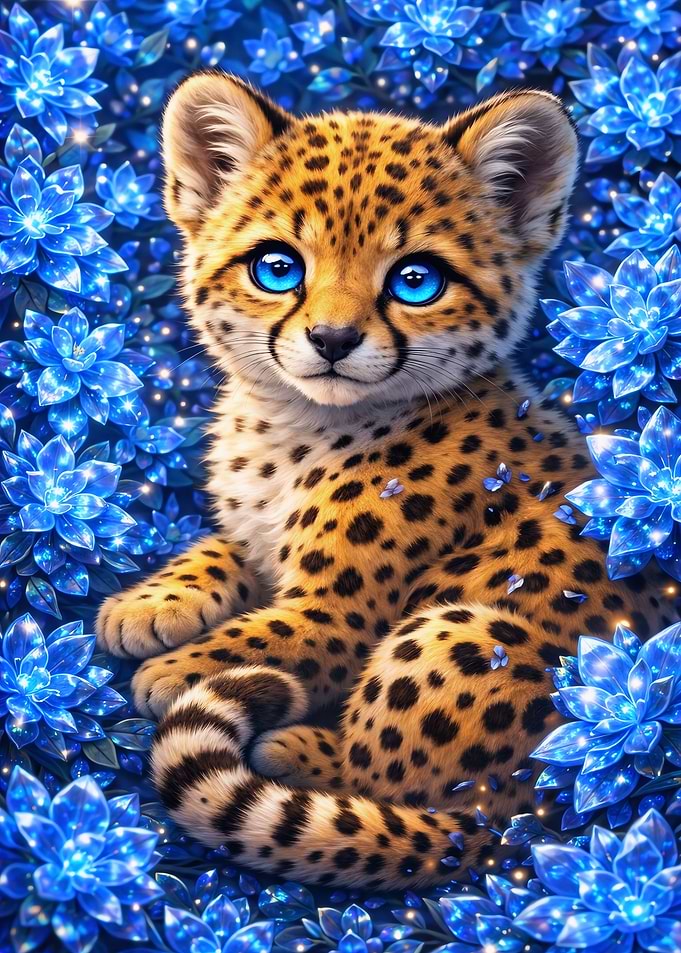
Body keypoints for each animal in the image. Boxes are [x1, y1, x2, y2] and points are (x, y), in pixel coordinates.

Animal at [96, 72, 674, 890]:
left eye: (415, 281)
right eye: (277, 267)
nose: (332, 340)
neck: (291, 420)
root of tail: (540, 817)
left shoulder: (337, 612)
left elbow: (267, 634)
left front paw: (173, 670)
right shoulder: (259, 534)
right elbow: (225, 545)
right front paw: (152, 602)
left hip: (457, 634)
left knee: (398, 786)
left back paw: (297, 747)